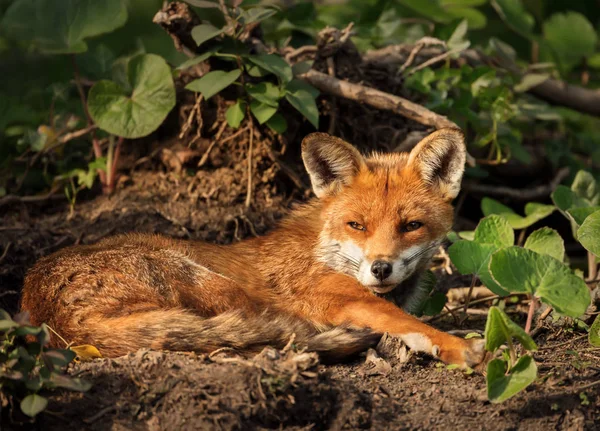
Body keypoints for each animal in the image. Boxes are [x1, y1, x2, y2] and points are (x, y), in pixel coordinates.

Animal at [21, 128, 486, 368]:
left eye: (411, 226)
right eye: (357, 225)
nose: (380, 268)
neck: (325, 249)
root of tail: (49, 314)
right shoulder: (341, 299)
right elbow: (412, 324)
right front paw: (458, 346)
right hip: (218, 286)